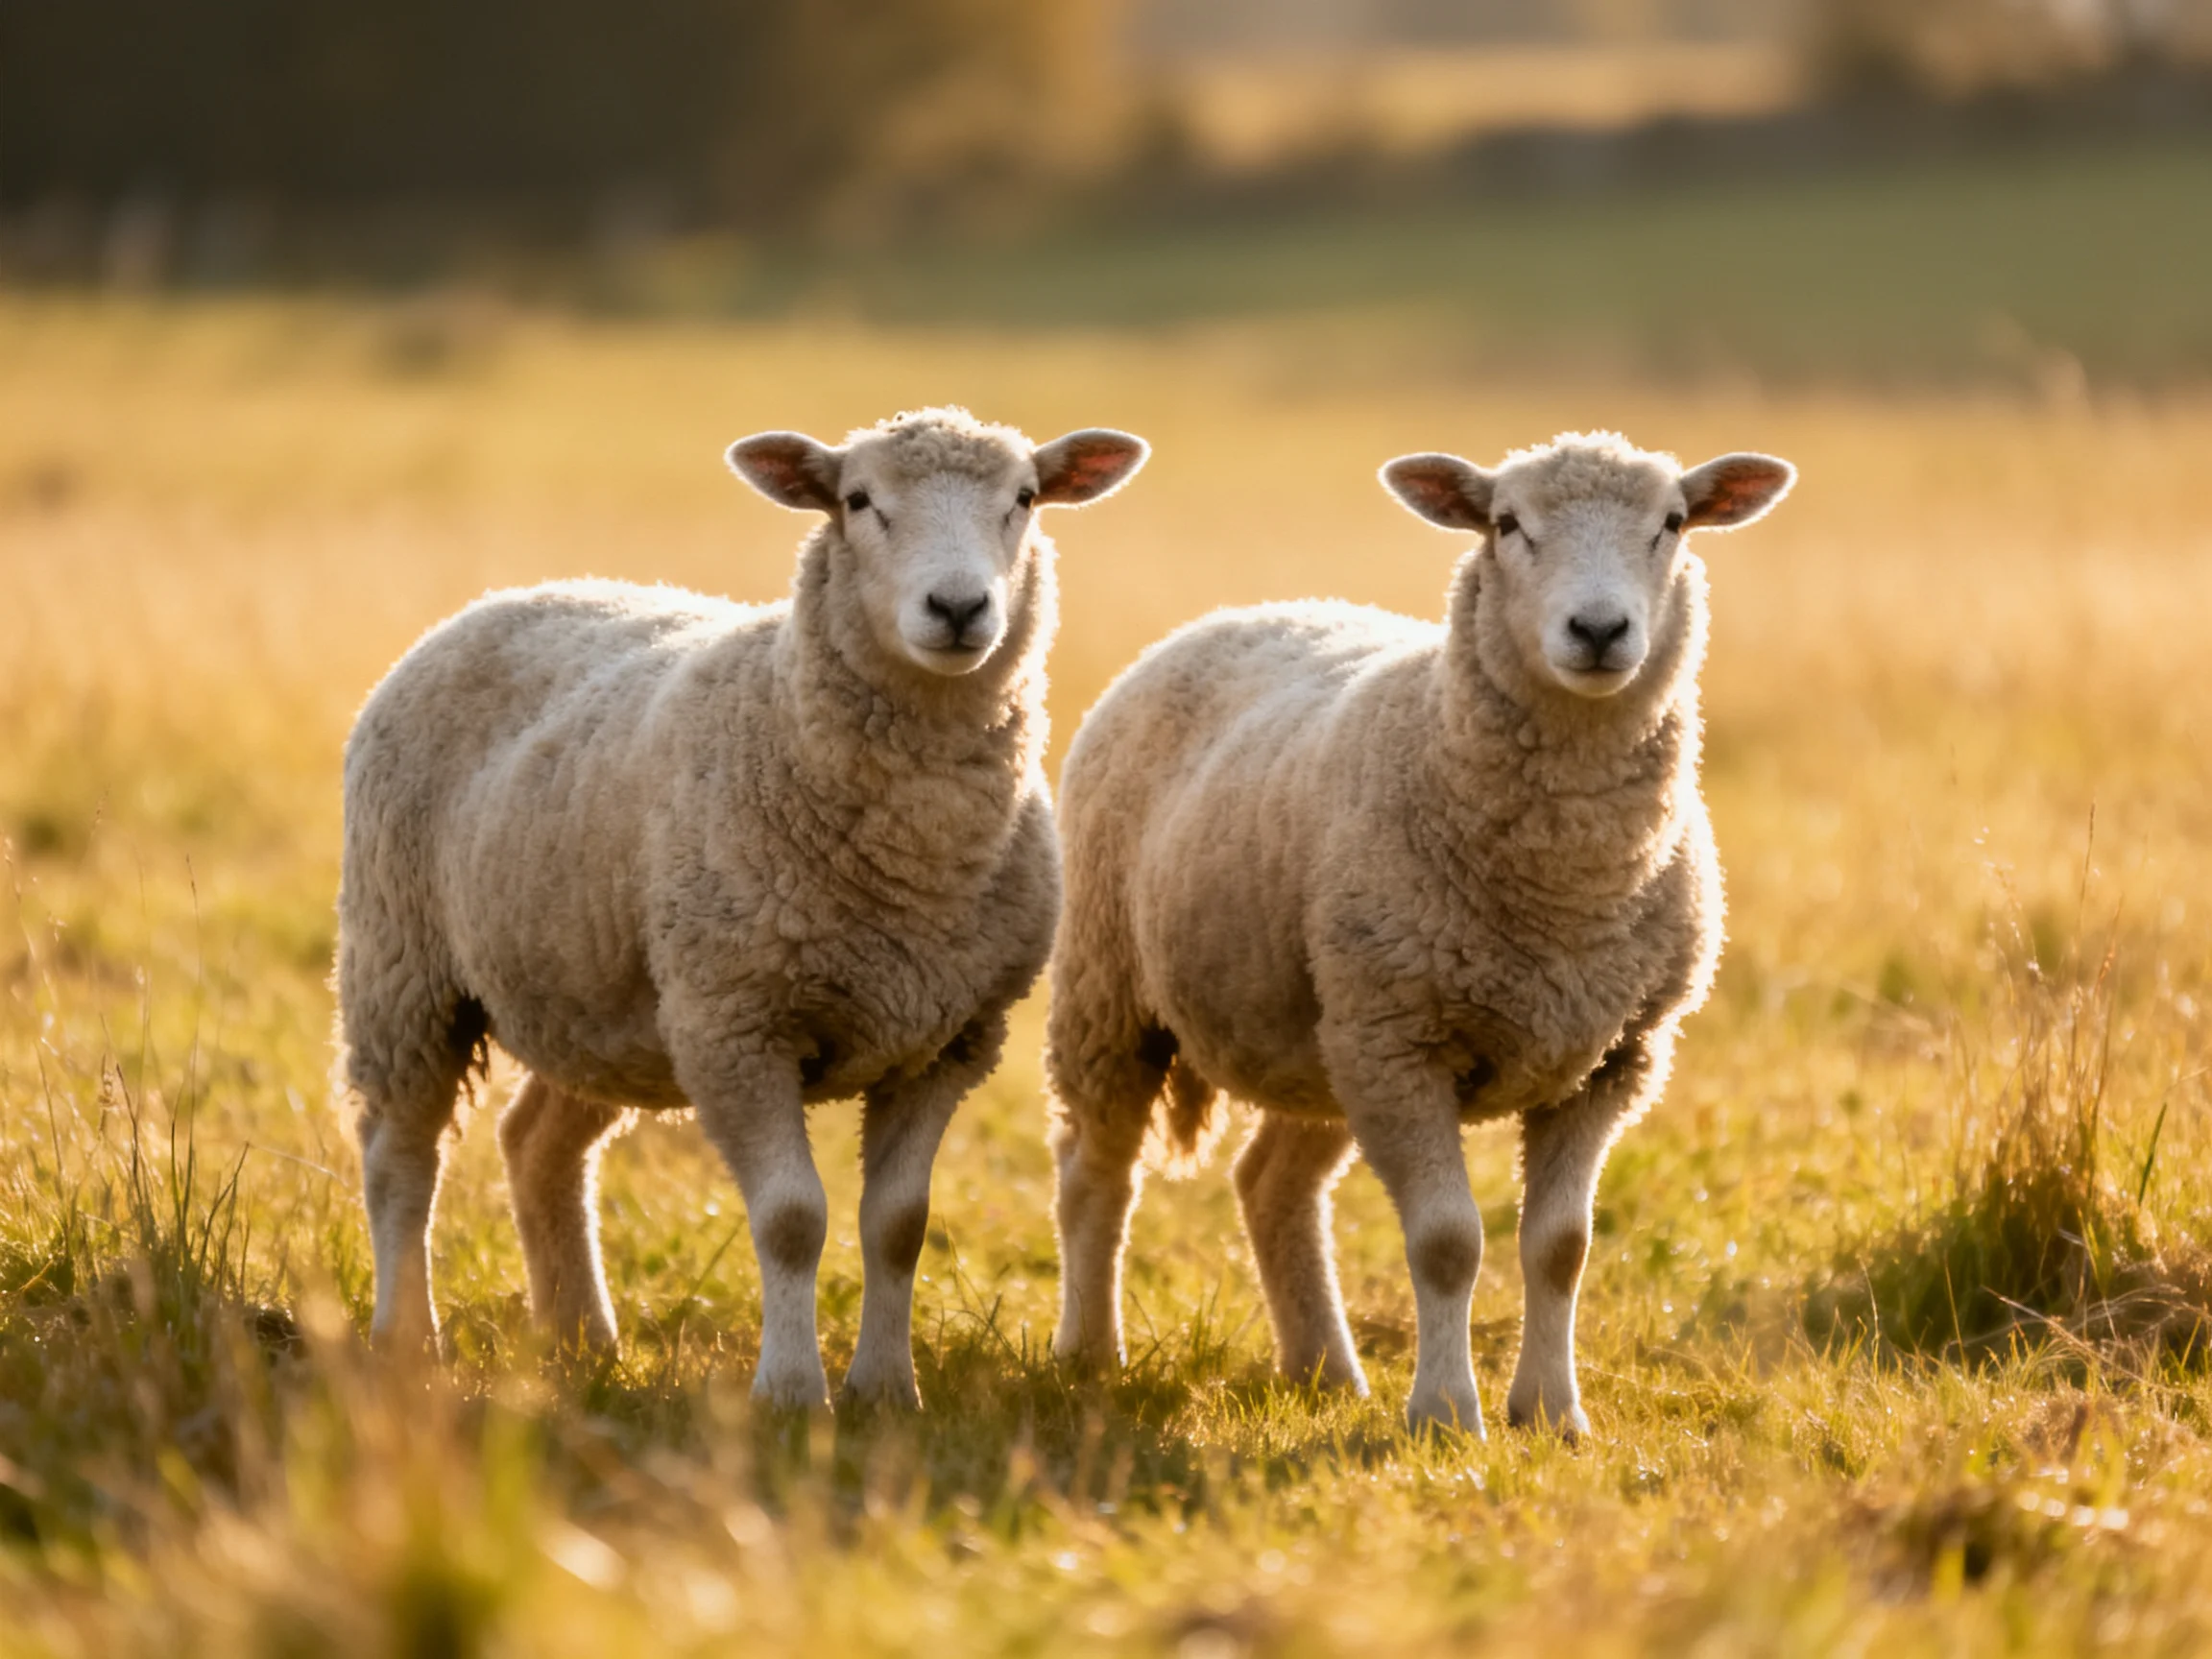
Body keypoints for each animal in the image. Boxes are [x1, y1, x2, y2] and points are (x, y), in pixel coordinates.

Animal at [336, 405, 1148, 1408]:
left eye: (1025, 498)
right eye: (858, 501)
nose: (960, 609)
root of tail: (501, 598)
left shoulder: (949, 1039)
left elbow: (900, 1223)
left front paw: (887, 1391)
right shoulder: (739, 1026)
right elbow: (793, 1219)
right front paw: (793, 1393)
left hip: (608, 1006)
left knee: (538, 1146)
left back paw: (582, 1339)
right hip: (404, 964)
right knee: (400, 1155)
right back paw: (408, 1338)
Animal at [1045, 431, 1793, 1436]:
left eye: (1671, 522)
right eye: (1507, 524)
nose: (1599, 631)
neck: (1566, 886)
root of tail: (1248, 612)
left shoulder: (1613, 1058)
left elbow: (1561, 1245)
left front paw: (1552, 1414)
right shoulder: (1405, 1043)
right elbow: (1446, 1242)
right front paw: (1445, 1415)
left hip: (1323, 1038)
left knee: (1271, 1183)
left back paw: (1324, 1370)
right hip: (1118, 992)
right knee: (1097, 1171)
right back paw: (1090, 1354)